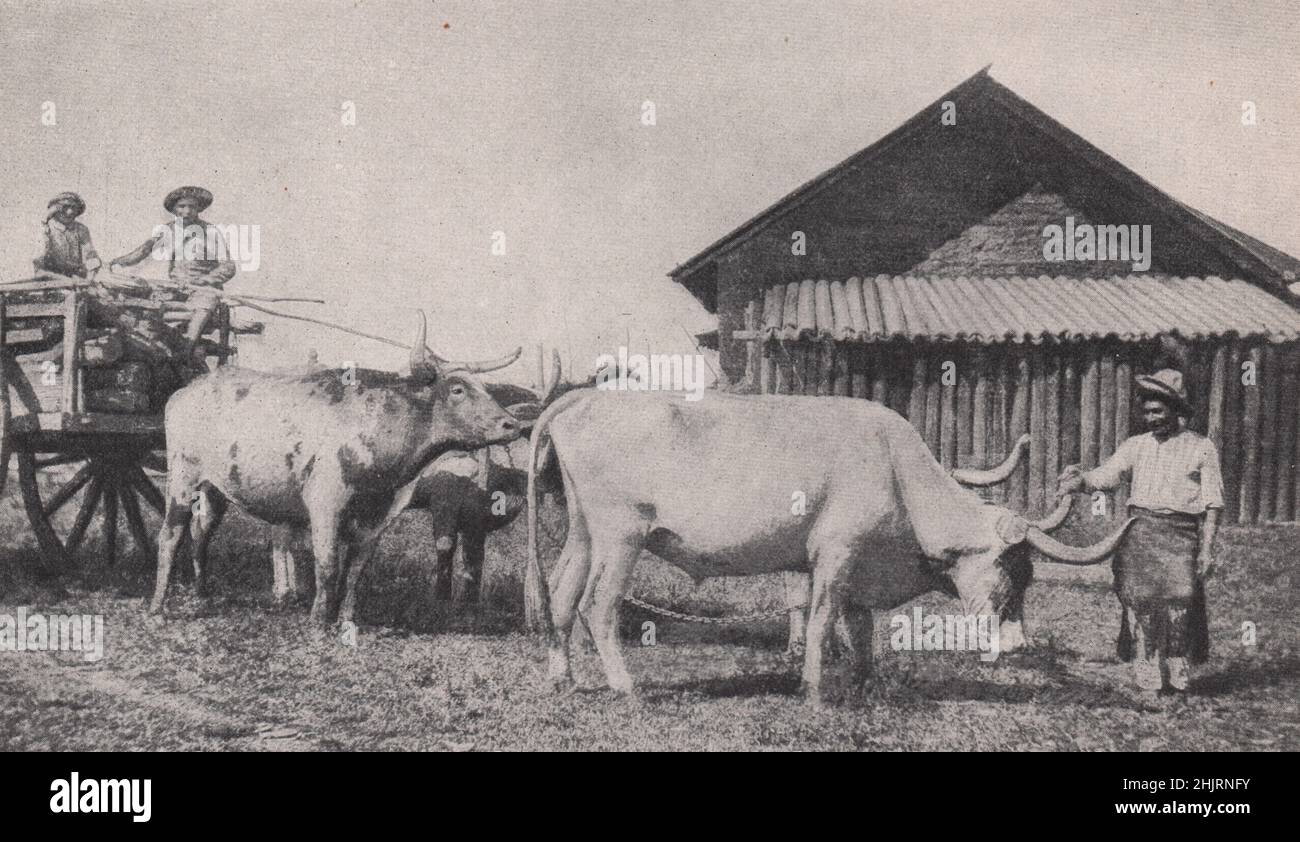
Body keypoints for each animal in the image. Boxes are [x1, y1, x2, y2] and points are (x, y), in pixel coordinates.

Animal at [149, 310, 520, 623]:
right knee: (170, 536)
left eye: (487, 389)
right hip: (182, 480)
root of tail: (189, 390)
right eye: (457, 389)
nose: (512, 424)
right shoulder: (325, 506)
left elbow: (354, 570)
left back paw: (201, 592)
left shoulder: (377, 518)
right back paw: (158, 606)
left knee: (200, 534)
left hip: (215, 490)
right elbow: (327, 564)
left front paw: (346, 619)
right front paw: (318, 619)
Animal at [522, 389, 1133, 701]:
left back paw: (562, 678)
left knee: (561, 595)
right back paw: (625, 687)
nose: (1019, 646)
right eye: (1013, 573)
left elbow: (860, 627)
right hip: (621, 535)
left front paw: (864, 682)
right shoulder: (834, 554)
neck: (895, 469)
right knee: (597, 606)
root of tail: (583, 397)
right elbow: (821, 620)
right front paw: (814, 689)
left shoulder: (857, 563)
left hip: (585, 533)